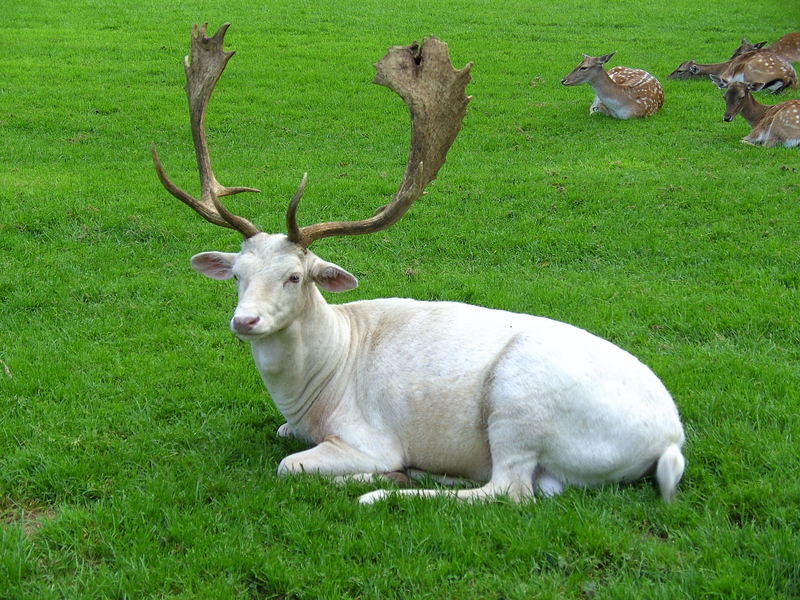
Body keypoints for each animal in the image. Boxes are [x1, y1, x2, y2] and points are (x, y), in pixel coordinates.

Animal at [152, 23, 688, 504]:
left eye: (295, 277)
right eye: (237, 275)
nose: (245, 321)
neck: (315, 390)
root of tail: (671, 442)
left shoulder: (366, 435)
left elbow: (290, 464)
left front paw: (378, 472)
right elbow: (284, 435)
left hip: (519, 405)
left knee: (510, 491)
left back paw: (385, 489)